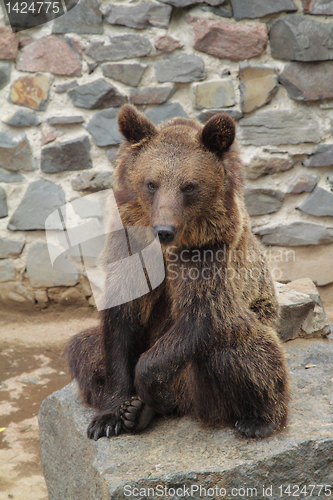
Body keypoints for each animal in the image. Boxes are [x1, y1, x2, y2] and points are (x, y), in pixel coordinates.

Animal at [66, 103, 290, 440]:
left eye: (190, 185)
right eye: (151, 183)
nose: (164, 230)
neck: (164, 252)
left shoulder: (209, 252)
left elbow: (204, 313)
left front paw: (150, 391)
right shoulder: (128, 248)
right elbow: (120, 322)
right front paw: (111, 415)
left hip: (209, 379)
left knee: (240, 351)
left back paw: (259, 419)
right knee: (82, 348)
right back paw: (137, 412)